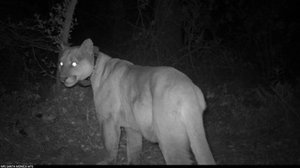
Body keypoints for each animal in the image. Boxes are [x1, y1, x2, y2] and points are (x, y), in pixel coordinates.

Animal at [58, 38, 216, 164]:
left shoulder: (108, 121)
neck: (96, 69)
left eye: (74, 63)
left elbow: (110, 149)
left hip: (170, 140)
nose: (62, 78)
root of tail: (189, 88)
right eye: (60, 63)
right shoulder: (132, 127)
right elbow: (133, 153)